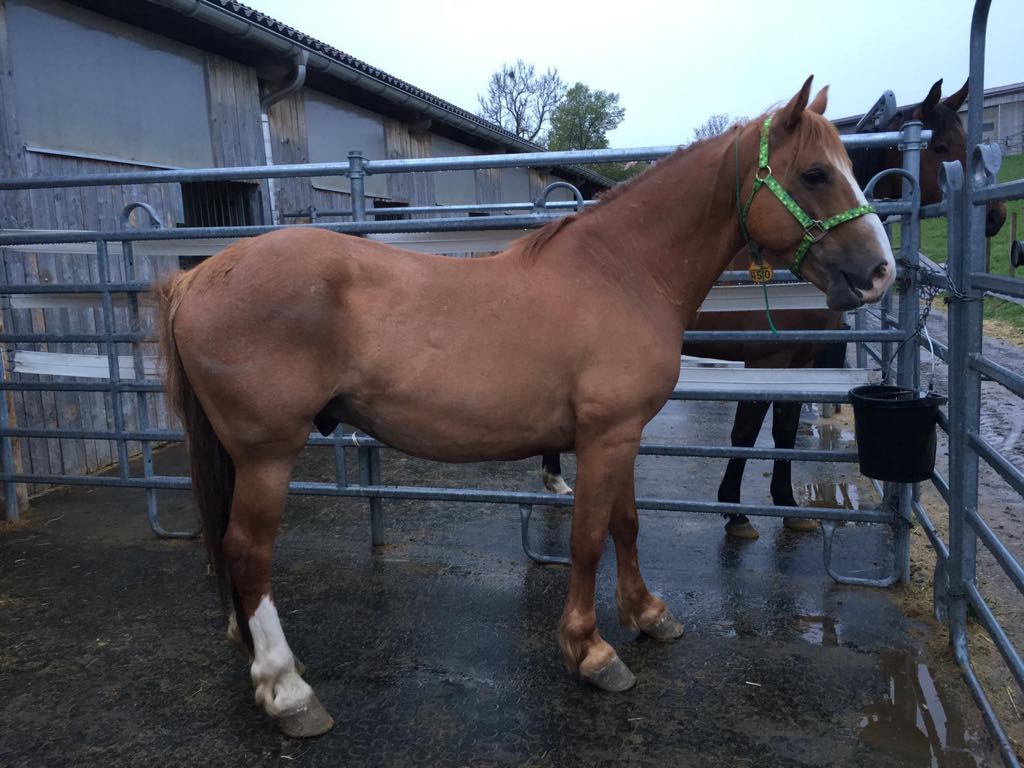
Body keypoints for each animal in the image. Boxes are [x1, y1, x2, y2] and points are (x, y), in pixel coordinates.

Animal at [160, 78, 894, 736]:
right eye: (816, 173)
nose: (880, 272)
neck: (623, 272)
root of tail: (199, 275)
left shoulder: (622, 434)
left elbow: (626, 524)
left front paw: (649, 615)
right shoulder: (602, 437)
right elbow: (587, 539)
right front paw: (592, 652)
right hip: (267, 455)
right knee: (248, 550)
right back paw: (287, 690)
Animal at [541, 78, 1008, 541]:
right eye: (942, 146)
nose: (997, 216)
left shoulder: (800, 361)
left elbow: (784, 429)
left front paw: (788, 506)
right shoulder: (767, 359)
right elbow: (746, 432)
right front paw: (735, 511)